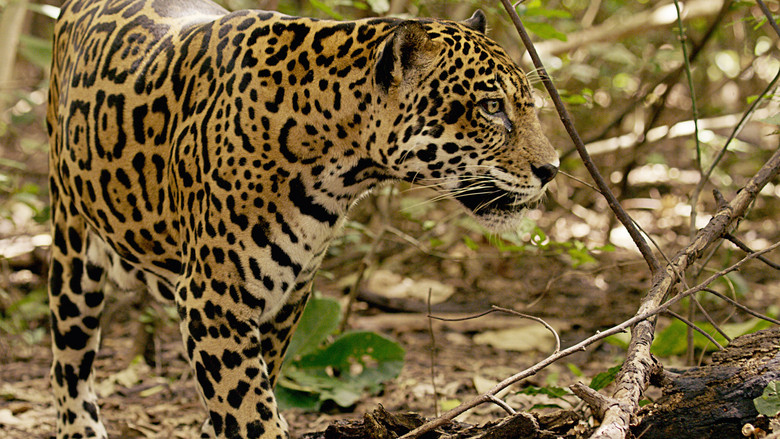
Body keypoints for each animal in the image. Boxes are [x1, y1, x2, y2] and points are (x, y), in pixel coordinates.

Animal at [46, 0, 559, 437]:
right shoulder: (212, 298)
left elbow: (248, 389)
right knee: (68, 363)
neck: (340, 161)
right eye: (491, 108)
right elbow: (248, 406)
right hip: (71, 248)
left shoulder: (287, 295)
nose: (551, 169)